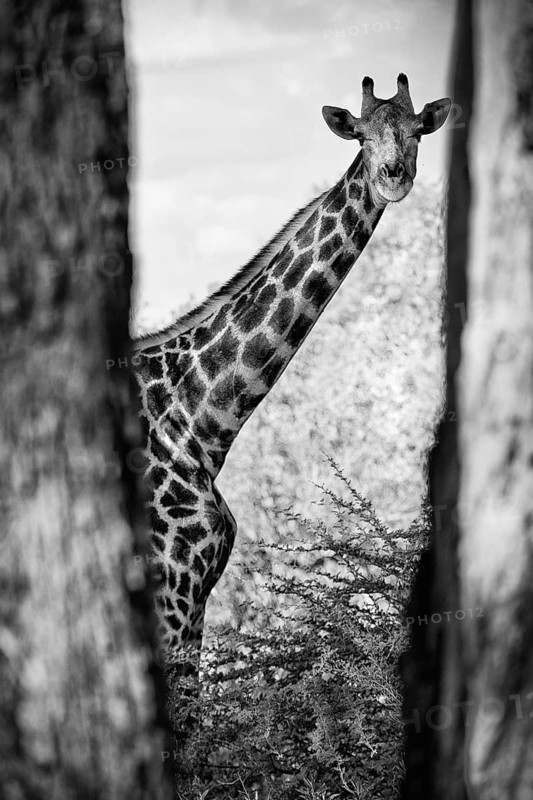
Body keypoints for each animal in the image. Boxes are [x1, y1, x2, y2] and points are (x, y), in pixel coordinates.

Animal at [133, 73, 450, 730]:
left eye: (416, 131)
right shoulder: (171, 593)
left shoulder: (196, 602)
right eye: (362, 134)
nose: (394, 176)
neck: (201, 421)